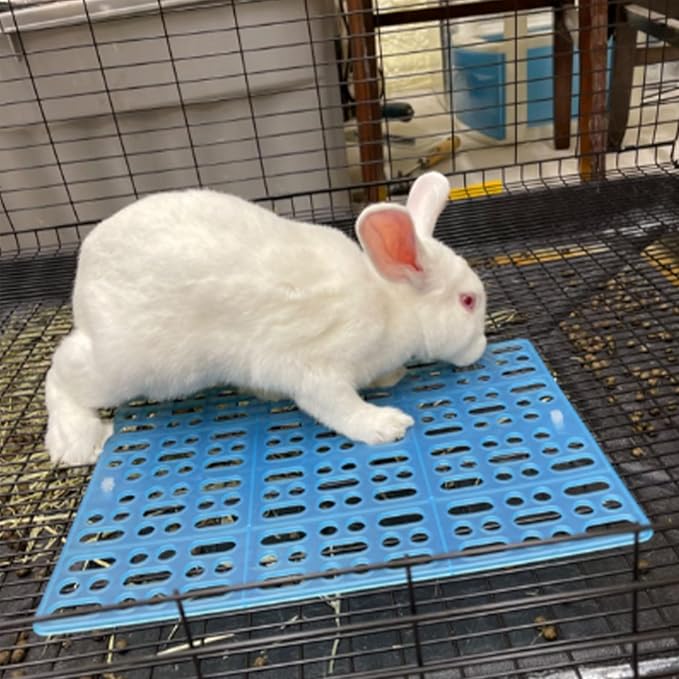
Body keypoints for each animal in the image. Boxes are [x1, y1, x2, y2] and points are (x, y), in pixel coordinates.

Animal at [45, 171, 487, 466]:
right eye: (467, 301)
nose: (481, 348)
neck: (389, 301)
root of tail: (84, 277)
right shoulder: (316, 368)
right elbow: (338, 407)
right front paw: (386, 425)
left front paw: (389, 377)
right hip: (124, 365)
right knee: (61, 372)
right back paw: (77, 441)